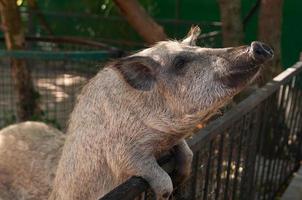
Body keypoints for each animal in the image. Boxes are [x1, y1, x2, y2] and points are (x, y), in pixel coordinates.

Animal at [49, 26, 274, 200]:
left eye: (198, 47)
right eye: (180, 62)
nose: (258, 46)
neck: (163, 138)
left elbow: (188, 153)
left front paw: (182, 175)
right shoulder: (121, 151)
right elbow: (155, 175)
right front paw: (165, 193)